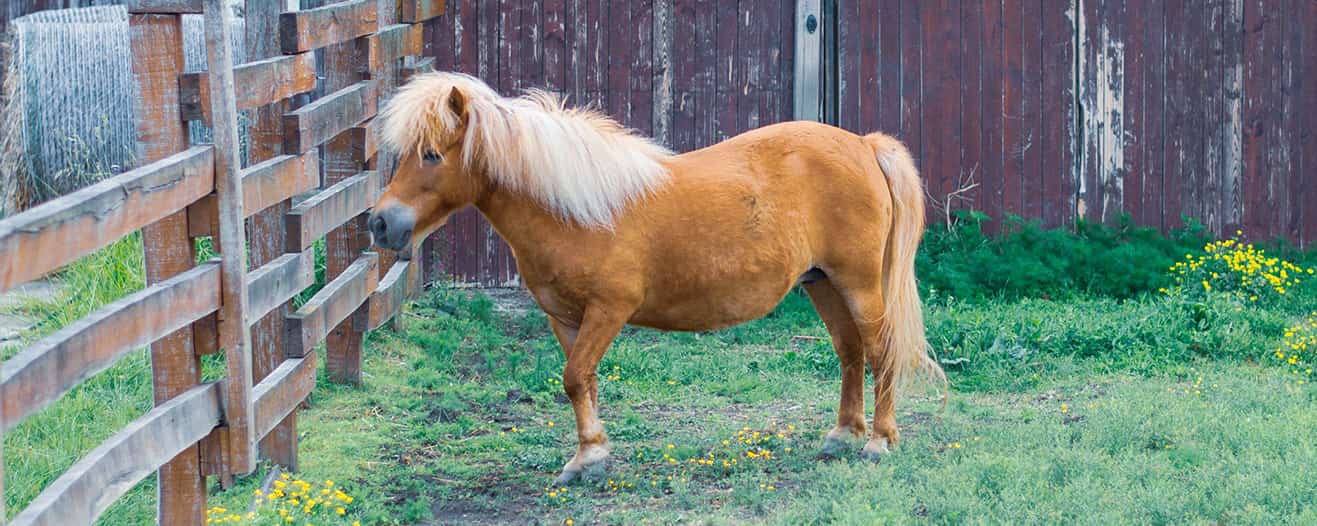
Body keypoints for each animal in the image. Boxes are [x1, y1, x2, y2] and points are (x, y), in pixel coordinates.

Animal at [368, 72, 944, 484]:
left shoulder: (609, 310)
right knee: (850, 352)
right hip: (822, 282)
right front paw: (591, 455)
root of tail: (864, 144)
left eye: (432, 155)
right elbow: (582, 382)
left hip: (859, 284)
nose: (381, 223)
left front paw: (589, 459)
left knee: (880, 352)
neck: (576, 210)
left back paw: (878, 442)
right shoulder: (565, 318)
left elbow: (574, 377)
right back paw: (843, 435)